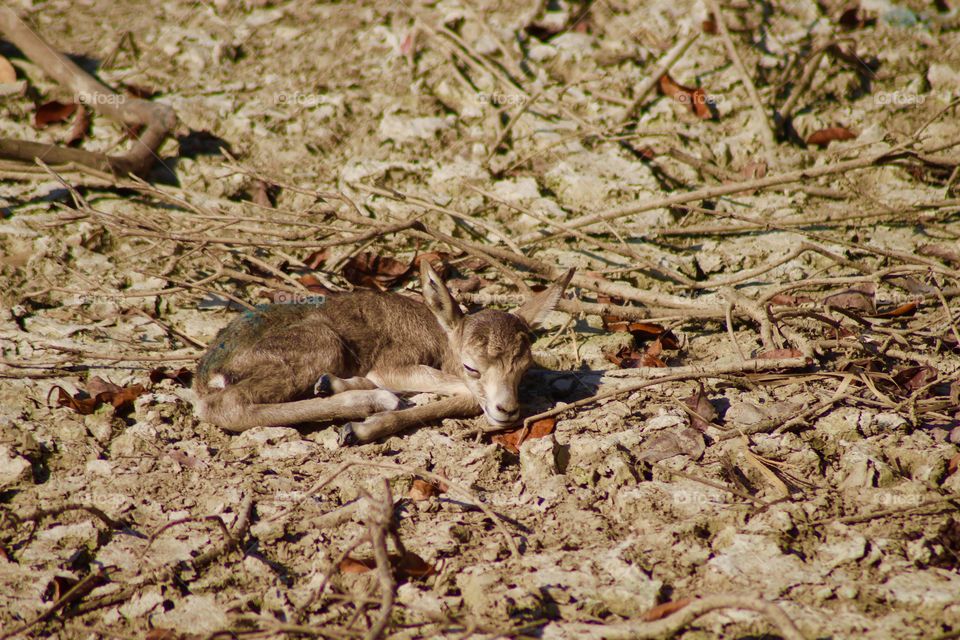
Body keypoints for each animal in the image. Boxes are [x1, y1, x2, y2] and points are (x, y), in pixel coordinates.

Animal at [191, 262, 572, 442]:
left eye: (524, 366)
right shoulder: (392, 365)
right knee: (228, 406)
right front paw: (364, 426)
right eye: (472, 366)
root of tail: (205, 377)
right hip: (322, 343)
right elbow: (464, 394)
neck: (438, 339)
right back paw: (370, 402)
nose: (507, 410)